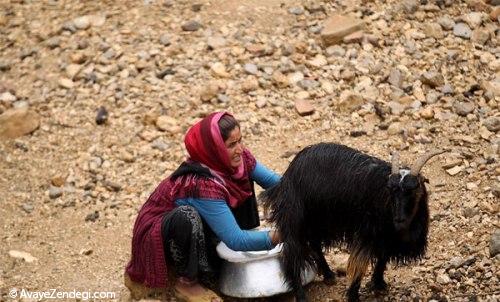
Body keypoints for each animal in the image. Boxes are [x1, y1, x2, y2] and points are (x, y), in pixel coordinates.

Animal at [262, 143, 446, 300]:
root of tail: (288, 173)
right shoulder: (367, 232)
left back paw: (329, 275)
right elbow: (359, 264)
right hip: (295, 218)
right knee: (293, 255)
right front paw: (353, 294)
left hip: (317, 220)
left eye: (414, 189)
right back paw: (301, 295)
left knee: (314, 244)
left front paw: (379, 283)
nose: (399, 220)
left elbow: (383, 257)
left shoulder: (386, 236)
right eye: (391, 190)